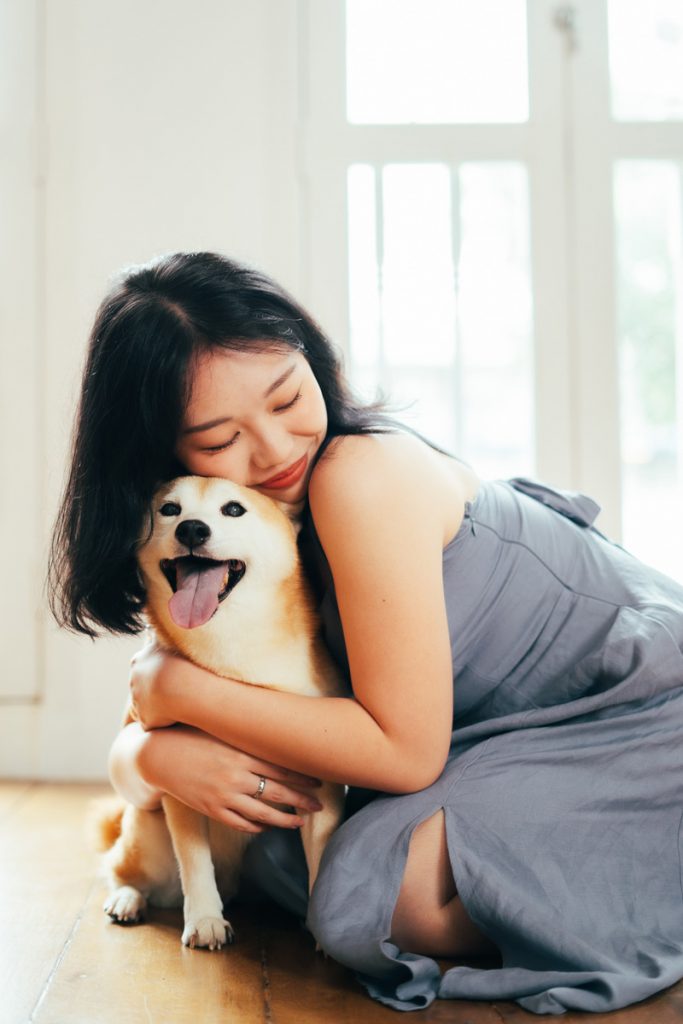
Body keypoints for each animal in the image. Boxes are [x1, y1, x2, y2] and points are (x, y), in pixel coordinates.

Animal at [96, 475, 348, 946]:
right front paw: (205, 920)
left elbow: (323, 860)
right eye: (169, 509)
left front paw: (322, 931)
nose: (192, 529)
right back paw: (127, 898)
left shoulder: (321, 789)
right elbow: (195, 863)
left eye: (233, 509)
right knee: (119, 867)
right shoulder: (182, 781)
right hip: (147, 838)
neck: (232, 652)